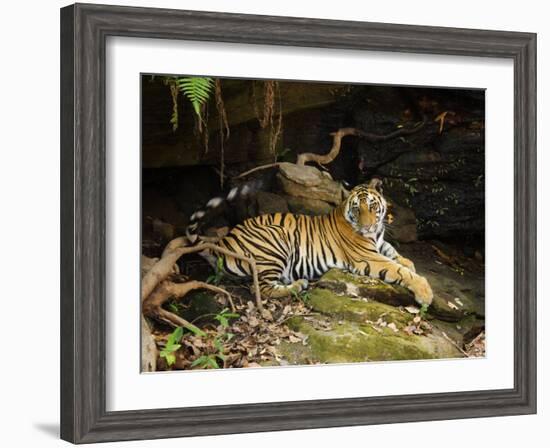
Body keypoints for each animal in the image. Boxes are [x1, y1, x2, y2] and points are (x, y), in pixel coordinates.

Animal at [188, 178, 434, 304]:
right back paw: (299, 285)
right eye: (357, 209)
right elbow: (400, 270)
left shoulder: (379, 244)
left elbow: (395, 253)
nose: (367, 226)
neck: (374, 234)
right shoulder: (367, 257)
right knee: (262, 289)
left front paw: (408, 262)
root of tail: (223, 241)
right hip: (276, 239)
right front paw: (425, 293)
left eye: (373, 207)